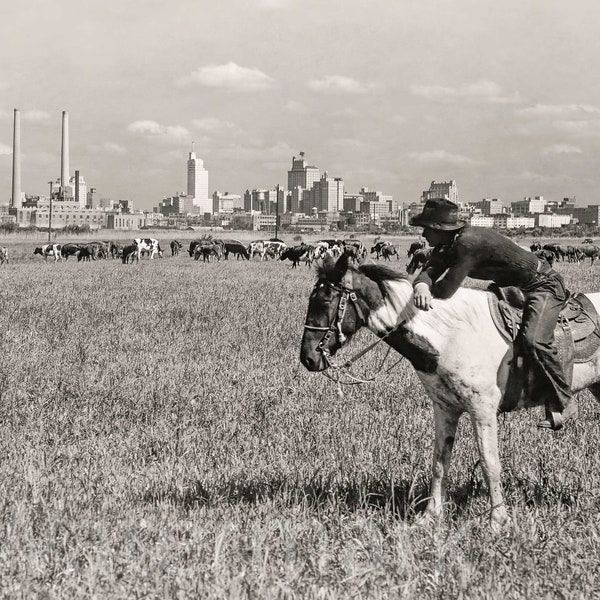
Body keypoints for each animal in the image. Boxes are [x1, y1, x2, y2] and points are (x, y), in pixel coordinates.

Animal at [300, 253, 600, 528]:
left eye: (325, 299)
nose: (307, 358)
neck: (448, 335)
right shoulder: (445, 408)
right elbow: (439, 461)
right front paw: (430, 516)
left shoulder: (482, 410)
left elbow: (490, 463)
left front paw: (498, 521)